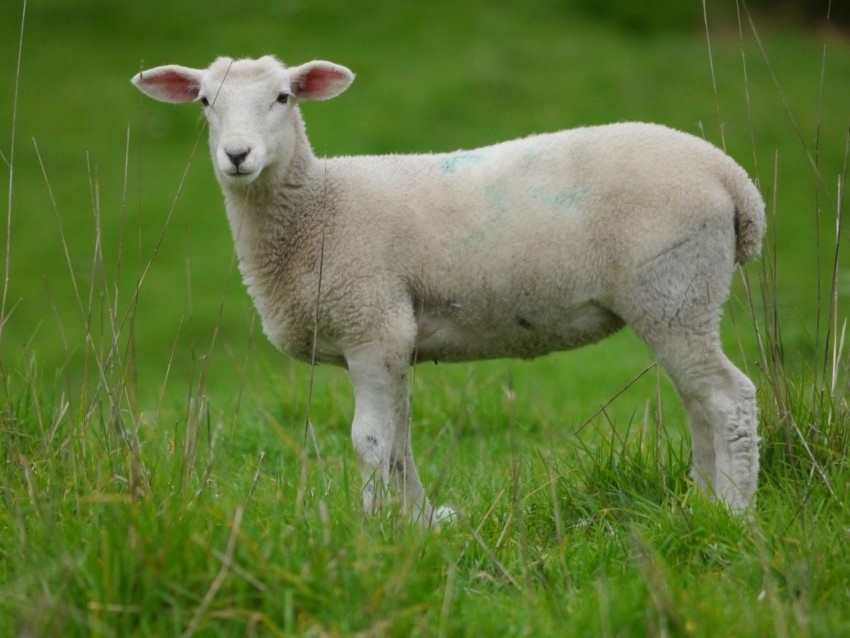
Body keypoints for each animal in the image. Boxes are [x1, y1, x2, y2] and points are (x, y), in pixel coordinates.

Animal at [132, 55, 765, 525]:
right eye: (205, 102)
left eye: (284, 97)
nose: (237, 156)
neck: (320, 208)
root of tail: (733, 179)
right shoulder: (393, 339)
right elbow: (401, 442)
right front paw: (419, 524)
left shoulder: (372, 322)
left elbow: (370, 441)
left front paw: (372, 531)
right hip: (680, 299)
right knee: (697, 401)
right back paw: (700, 503)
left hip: (674, 288)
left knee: (728, 397)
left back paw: (733, 513)